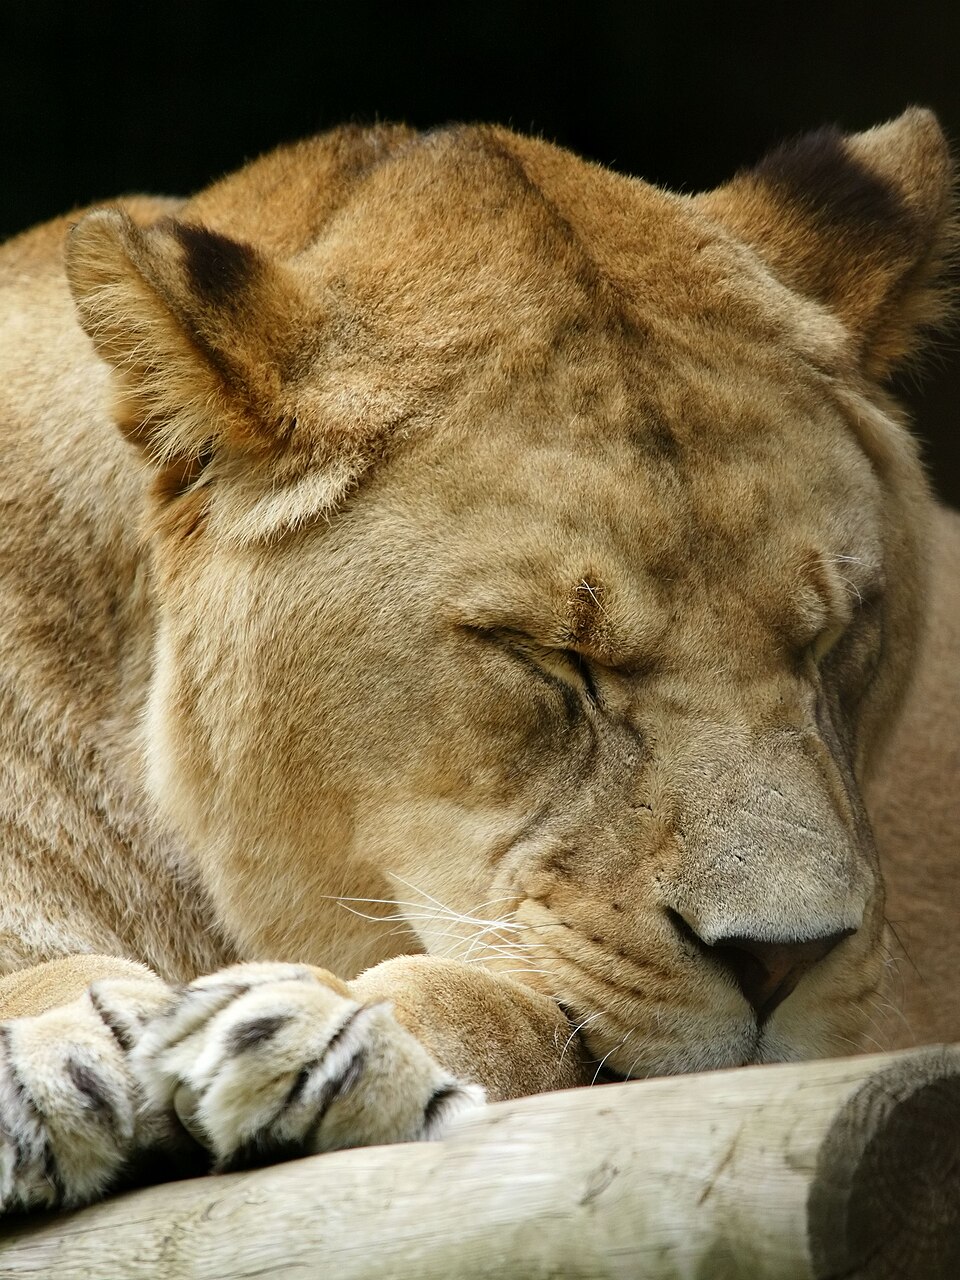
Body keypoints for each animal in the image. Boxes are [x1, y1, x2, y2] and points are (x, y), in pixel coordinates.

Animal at [0, 108, 956, 1212]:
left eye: (832, 640)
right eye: (549, 654)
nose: (780, 961)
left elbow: (524, 1017)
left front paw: (325, 1042)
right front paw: (55, 1050)